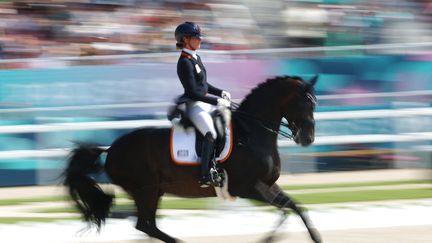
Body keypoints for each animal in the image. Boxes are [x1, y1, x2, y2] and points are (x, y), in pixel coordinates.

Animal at [63, 75, 320, 242]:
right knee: (145, 225)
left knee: (148, 225)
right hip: (145, 189)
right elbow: (285, 209)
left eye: (314, 102)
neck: (252, 133)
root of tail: (111, 149)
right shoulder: (247, 188)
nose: (308, 138)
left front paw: (315, 237)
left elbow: (296, 207)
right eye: (305, 101)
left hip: (154, 191)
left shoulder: (268, 184)